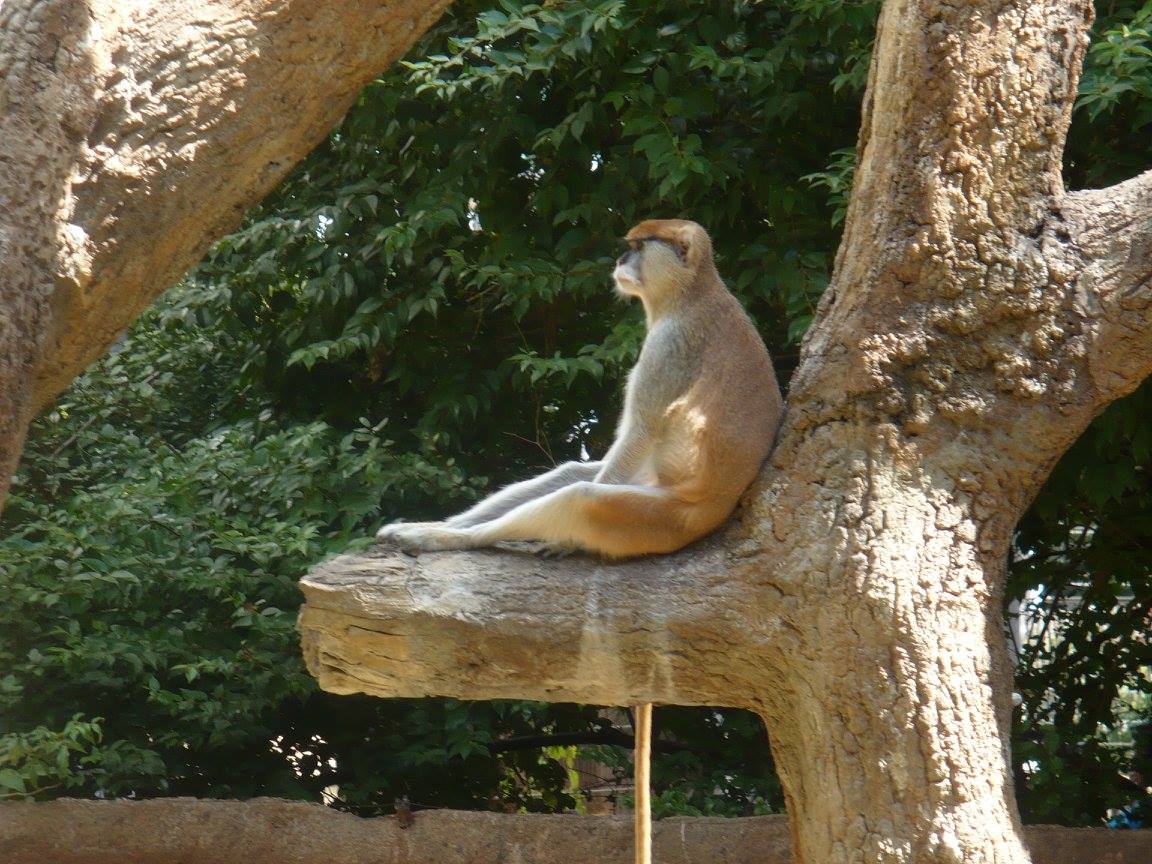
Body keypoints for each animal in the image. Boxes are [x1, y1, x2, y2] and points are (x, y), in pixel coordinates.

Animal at [376, 218, 783, 559]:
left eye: (639, 246)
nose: (621, 258)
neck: (691, 292)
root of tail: (708, 517)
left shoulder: (671, 347)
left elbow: (640, 432)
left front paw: (565, 541)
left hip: (656, 519)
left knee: (582, 496)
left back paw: (450, 537)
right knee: (571, 475)